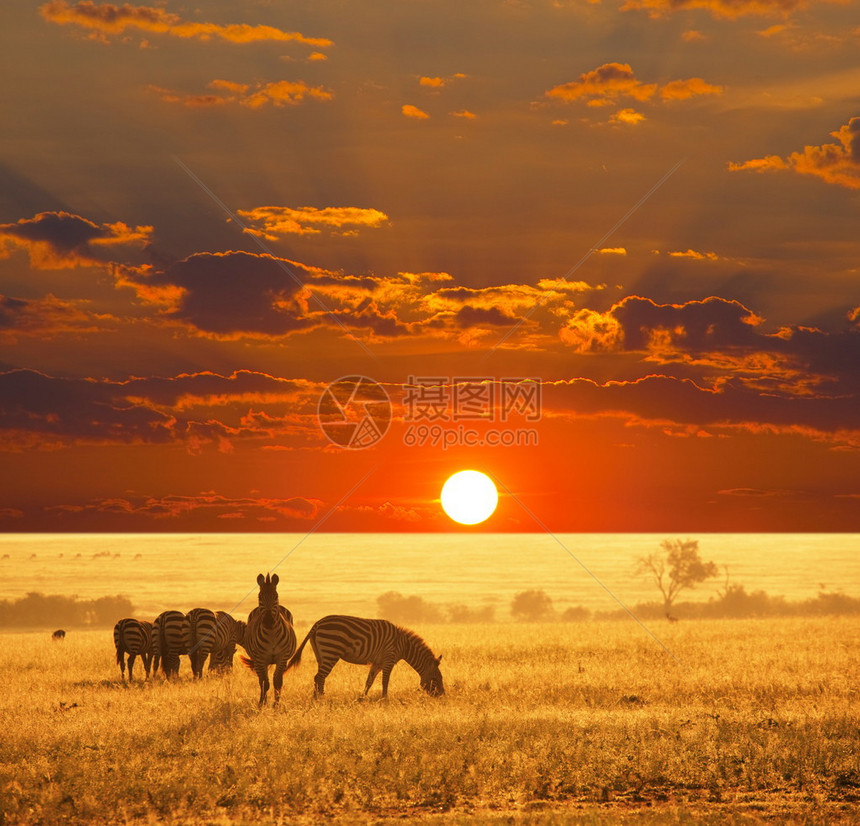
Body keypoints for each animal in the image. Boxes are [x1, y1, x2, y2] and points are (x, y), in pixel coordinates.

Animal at [240, 572, 298, 700]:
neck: (272, 634)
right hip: (259, 661)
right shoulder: (260, 659)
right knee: (261, 680)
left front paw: (276, 703)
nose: (268, 621)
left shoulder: (282, 658)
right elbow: (265, 683)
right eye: (260, 597)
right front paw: (262, 702)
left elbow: (277, 682)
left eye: (275, 596)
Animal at [288, 612, 446, 696]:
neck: (404, 645)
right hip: (331, 651)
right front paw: (385, 700)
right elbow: (385, 681)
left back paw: (319, 699)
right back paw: (320, 699)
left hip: (320, 655)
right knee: (319, 677)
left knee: (319, 678)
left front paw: (362, 698)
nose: (442, 697)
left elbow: (369, 681)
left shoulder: (378, 662)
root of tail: (318, 623)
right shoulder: (389, 659)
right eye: (436, 678)